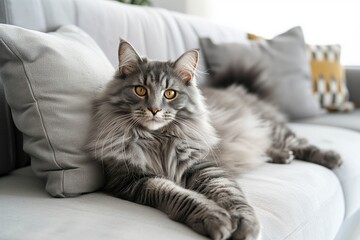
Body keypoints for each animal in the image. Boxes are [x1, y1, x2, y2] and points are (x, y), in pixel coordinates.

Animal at [86, 39, 342, 240]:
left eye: (170, 94)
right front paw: (215, 218)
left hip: (271, 128)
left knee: (297, 142)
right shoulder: (134, 179)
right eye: (140, 90)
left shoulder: (205, 166)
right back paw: (282, 156)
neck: (158, 139)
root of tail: (238, 89)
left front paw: (246, 226)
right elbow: (181, 196)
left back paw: (330, 157)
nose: (154, 110)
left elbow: (230, 194)